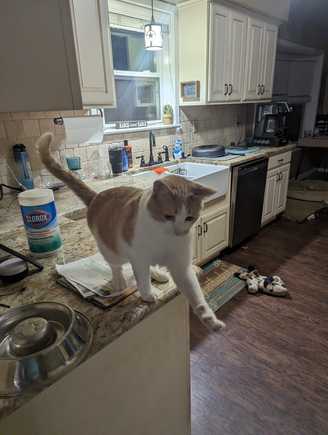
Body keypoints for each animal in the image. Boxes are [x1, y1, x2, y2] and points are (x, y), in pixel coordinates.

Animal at [37, 133, 224, 330]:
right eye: (168, 216)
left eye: (189, 218)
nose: (179, 231)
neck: (164, 237)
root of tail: (97, 196)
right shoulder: (139, 257)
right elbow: (142, 279)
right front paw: (148, 295)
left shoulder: (181, 265)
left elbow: (195, 295)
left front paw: (210, 319)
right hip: (112, 249)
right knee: (116, 266)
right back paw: (120, 281)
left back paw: (158, 274)